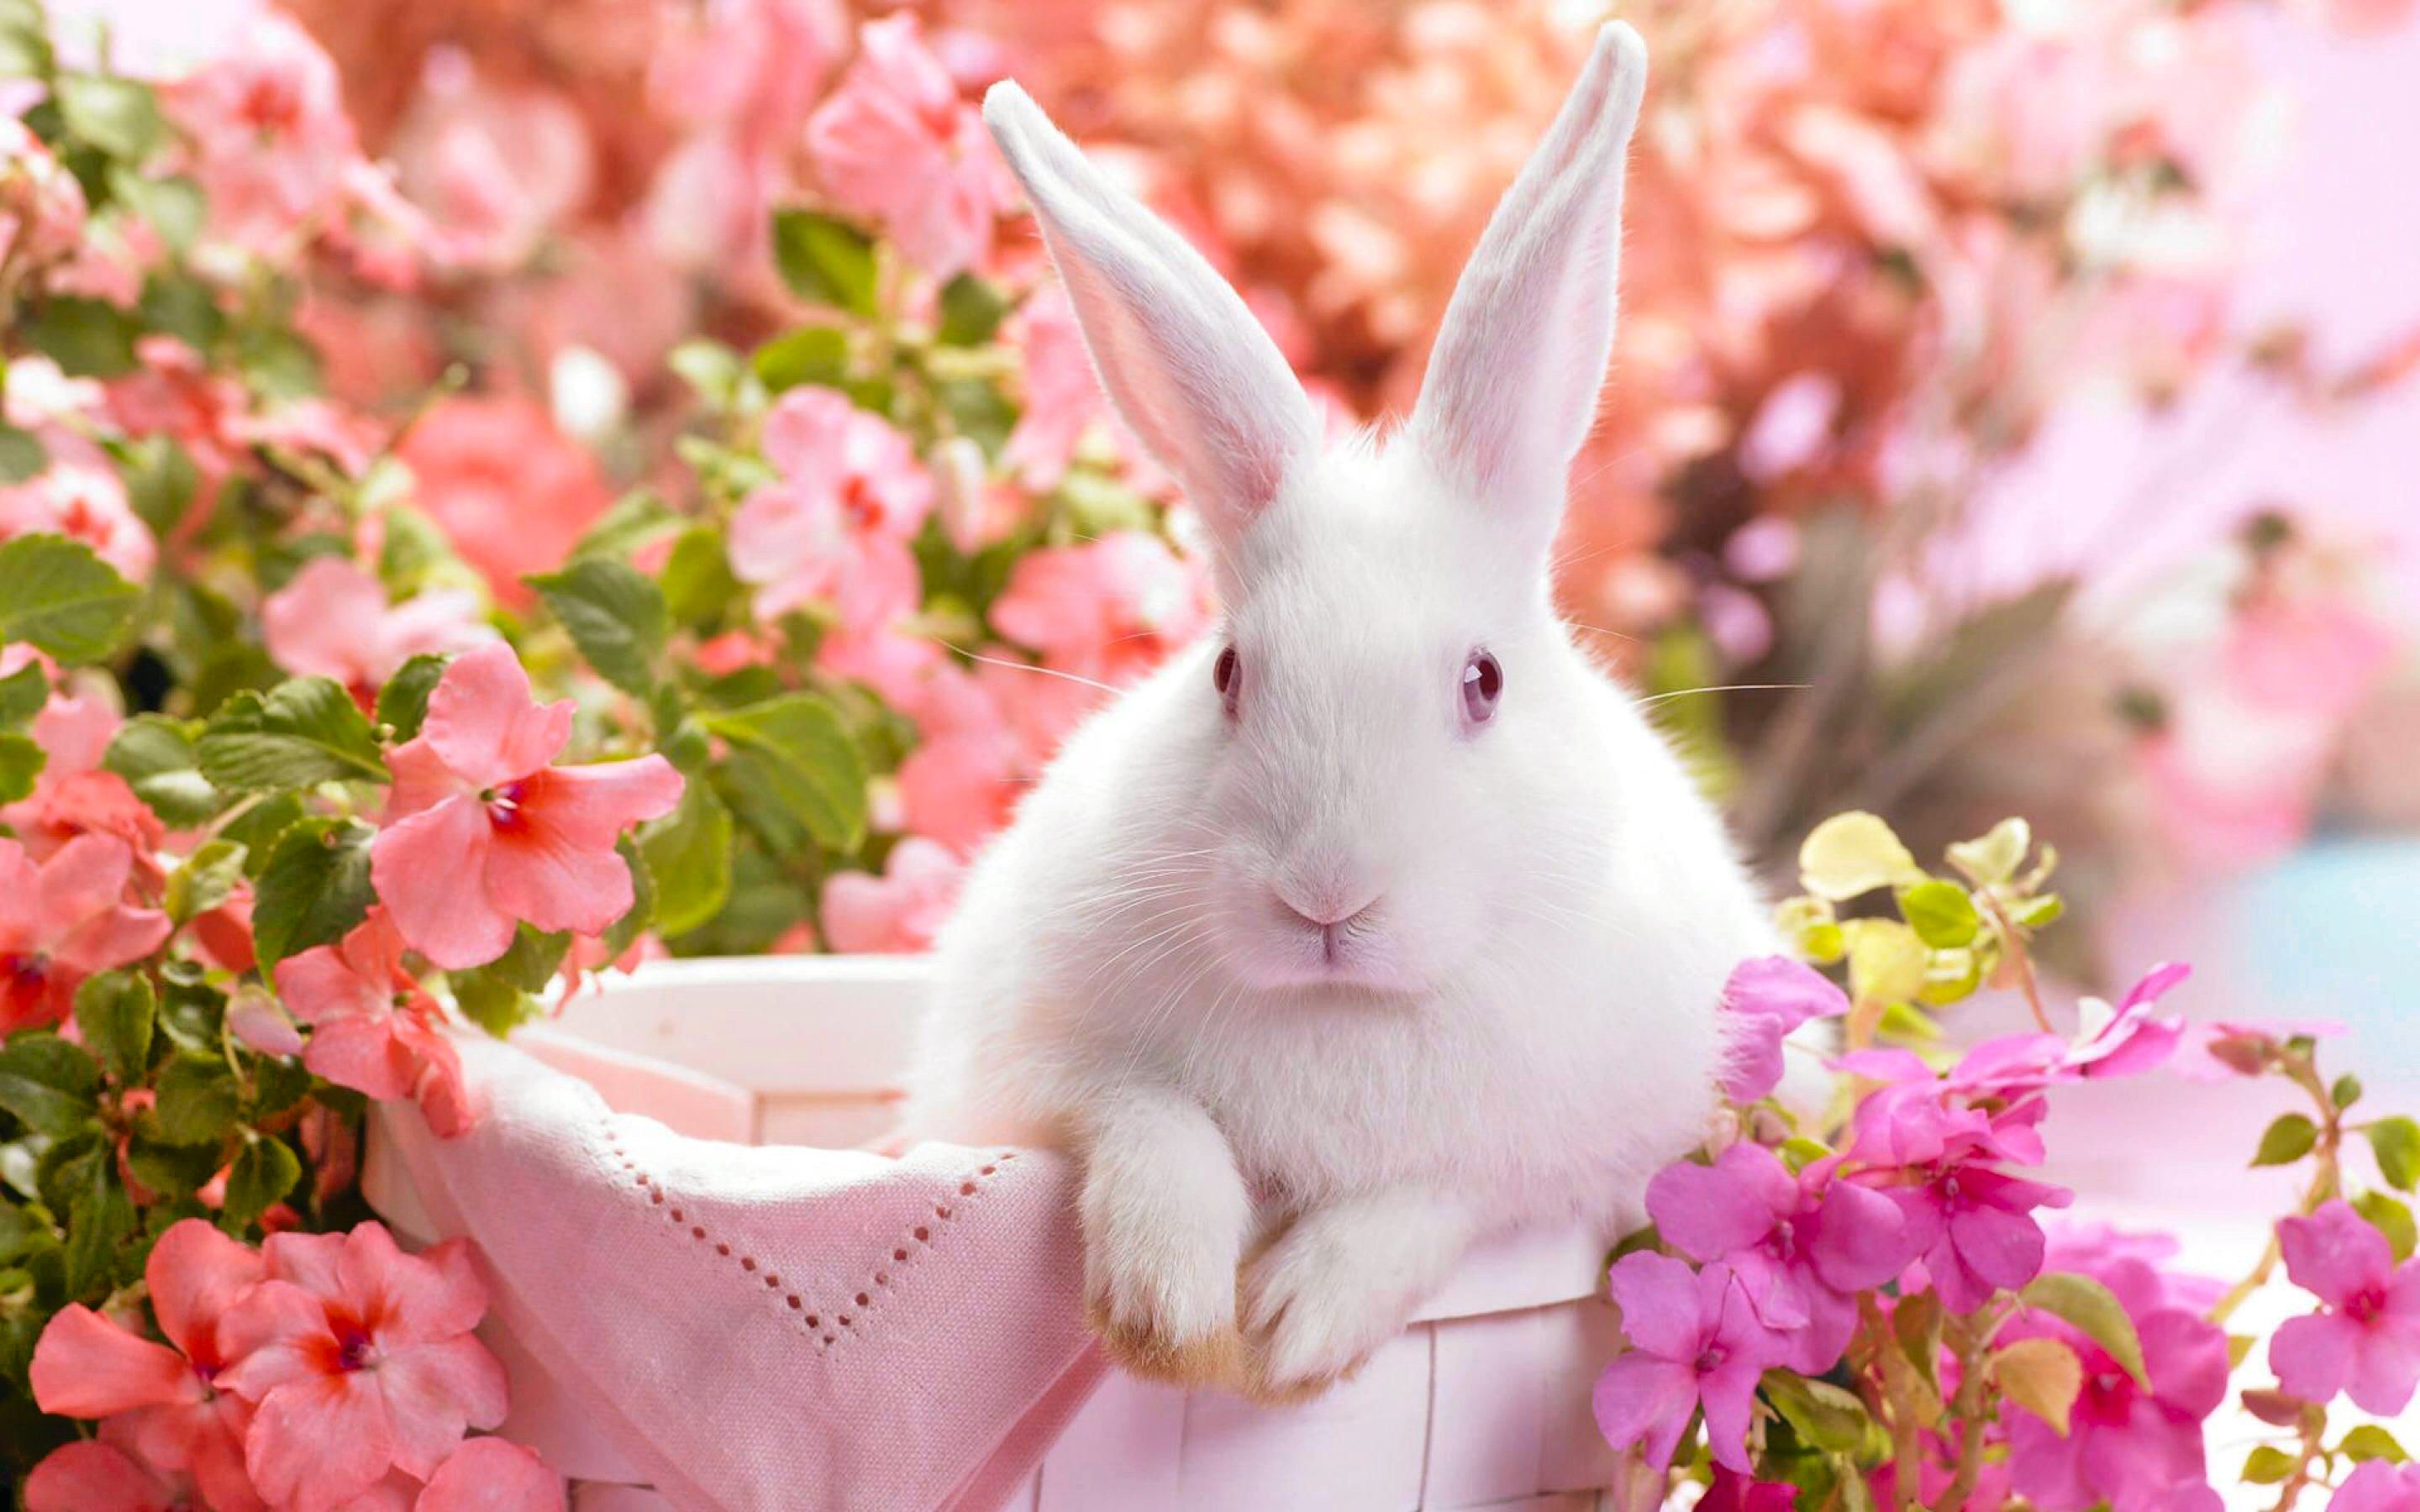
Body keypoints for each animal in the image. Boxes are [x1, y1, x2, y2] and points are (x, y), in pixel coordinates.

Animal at [903, 22, 1783, 1401]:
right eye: (1227, 673)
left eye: (1483, 682)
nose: (1326, 897)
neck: (1340, 1013)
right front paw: (1168, 1310)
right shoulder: (1028, 1065)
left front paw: (1293, 1325)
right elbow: (1146, 1117)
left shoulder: (1581, 1156)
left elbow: (1437, 1196)